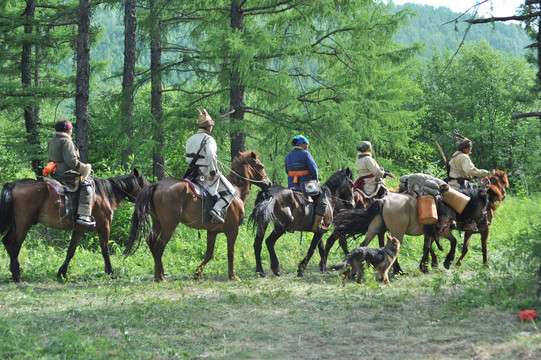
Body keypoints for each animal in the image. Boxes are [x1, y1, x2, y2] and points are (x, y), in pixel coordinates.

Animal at [0, 170, 149, 282]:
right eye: (145, 185)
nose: (147, 206)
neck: (104, 195)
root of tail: (13, 184)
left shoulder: (79, 230)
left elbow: (70, 251)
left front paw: (62, 273)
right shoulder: (104, 228)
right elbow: (105, 251)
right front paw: (111, 273)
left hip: (17, 225)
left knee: (7, 242)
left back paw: (13, 272)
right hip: (23, 224)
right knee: (15, 246)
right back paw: (17, 276)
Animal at [125, 151, 270, 282]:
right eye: (261, 166)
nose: (268, 183)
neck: (236, 191)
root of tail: (156, 184)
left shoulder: (212, 232)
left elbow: (209, 254)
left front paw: (197, 274)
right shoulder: (233, 231)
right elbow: (231, 252)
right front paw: (233, 276)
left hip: (158, 223)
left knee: (151, 242)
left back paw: (159, 274)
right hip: (169, 226)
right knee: (159, 247)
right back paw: (160, 276)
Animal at [334, 186, 490, 272]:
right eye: (484, 205)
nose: (486, 222)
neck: (448, 204)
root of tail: (383, 200)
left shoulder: (431, 233)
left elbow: (427, 247)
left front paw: (424, 267)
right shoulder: (443, 230)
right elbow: (453, 242)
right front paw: (447, 261)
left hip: (375, 229)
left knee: (363, 244)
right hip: (397, 233)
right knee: (393, 250)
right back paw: (398, 271)